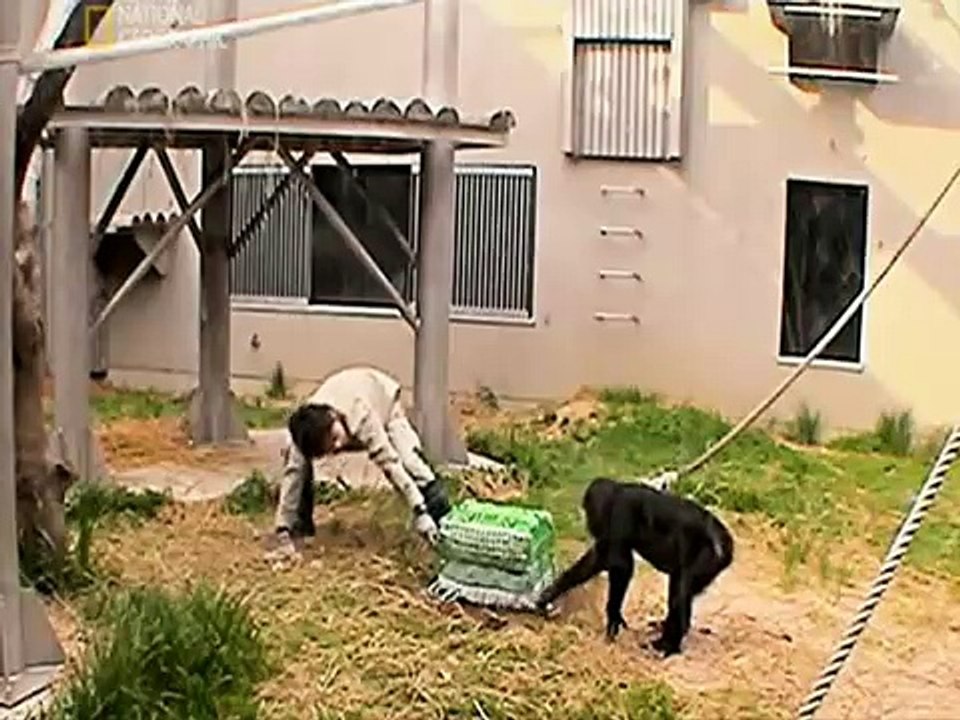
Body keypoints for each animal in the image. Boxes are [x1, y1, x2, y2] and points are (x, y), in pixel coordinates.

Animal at [536, 477, 734, 657]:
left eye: (590, 510)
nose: (590, 523)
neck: (616, 494)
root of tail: (727, 543)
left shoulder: (621, 512)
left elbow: (621, 565)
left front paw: (613, 617)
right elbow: (596, 560)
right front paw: (549, 594)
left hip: (707, 557)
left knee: (680, 591)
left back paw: (667, 645)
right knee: (679, 589)